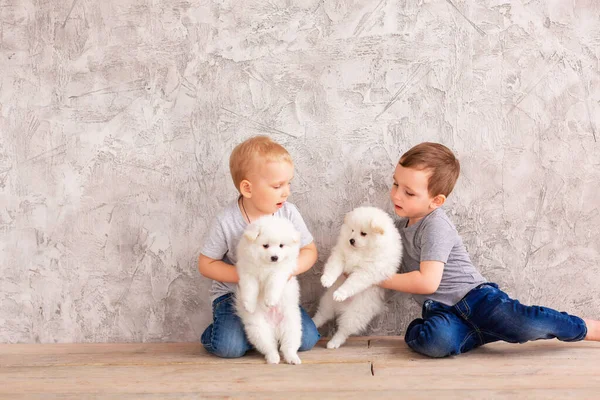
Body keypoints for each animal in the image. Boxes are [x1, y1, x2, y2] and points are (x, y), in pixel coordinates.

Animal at [233, 216, 302, 366]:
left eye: (281, 245)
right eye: (265, 246)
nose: (274, 257)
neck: (266, 265)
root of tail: (275, 328)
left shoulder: (280, 272)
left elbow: (274, 284)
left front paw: (270, 300)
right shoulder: (248, 273)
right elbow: (250, 288)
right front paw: (249, 305)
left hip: (291, 326)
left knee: (288, 346)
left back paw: (292, 358)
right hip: (258, 329)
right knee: (270, 347)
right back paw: (273, 358)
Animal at [312, 208, 400, 348]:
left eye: (363, 233)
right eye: (352, 230)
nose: (351, 240)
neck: (360, 251)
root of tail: (340, 308)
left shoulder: (366, 272)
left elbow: (351, 283)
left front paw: (340, 294)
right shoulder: (341, 254)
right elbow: (333, 267)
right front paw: (326, 279)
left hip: (355, 314)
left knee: (343, 331)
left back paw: (333, 343)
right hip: (328, 303)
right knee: (322, 315)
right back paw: (312, 323)